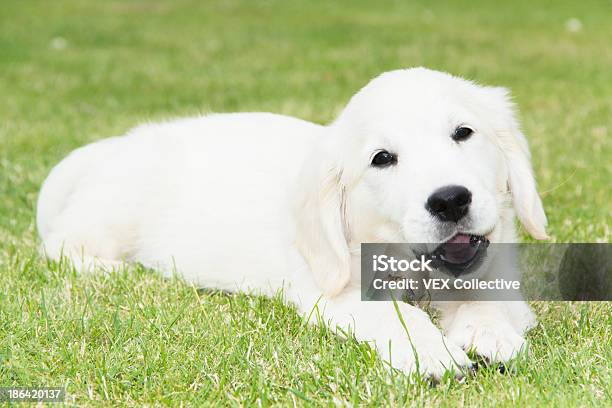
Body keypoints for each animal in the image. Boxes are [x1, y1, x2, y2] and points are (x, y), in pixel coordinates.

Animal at [35, 67, 548, 380]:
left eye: (463, 132)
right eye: (382, 158)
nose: (450, 200)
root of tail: (115, 145)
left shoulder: (497, 271)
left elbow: (485, 299)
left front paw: (488, 333)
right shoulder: (332, 291)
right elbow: (395, 314)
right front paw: (432, 351)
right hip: (113, 214)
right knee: (60, 244)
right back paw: (110, 269)